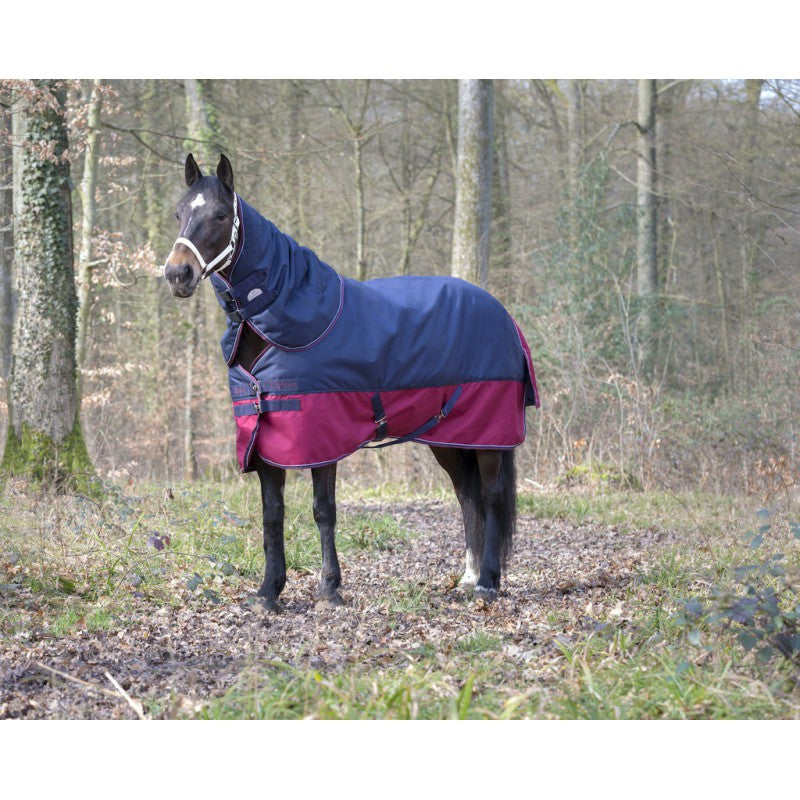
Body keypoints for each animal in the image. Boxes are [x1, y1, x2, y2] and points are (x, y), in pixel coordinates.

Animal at [163, 153, 539, 611]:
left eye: (220, 214)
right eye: (179, 212)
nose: (177, 274)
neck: (285, 319)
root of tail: (503, 316)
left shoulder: (321, 438)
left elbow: (323, 510)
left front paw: (329, 588)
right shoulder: (265, 439)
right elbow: (272, 515)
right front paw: (269, 591)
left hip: (489, 436)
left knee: (490, 495)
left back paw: (486, 582)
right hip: (449, 438)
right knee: (468, 496)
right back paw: (468, 579)